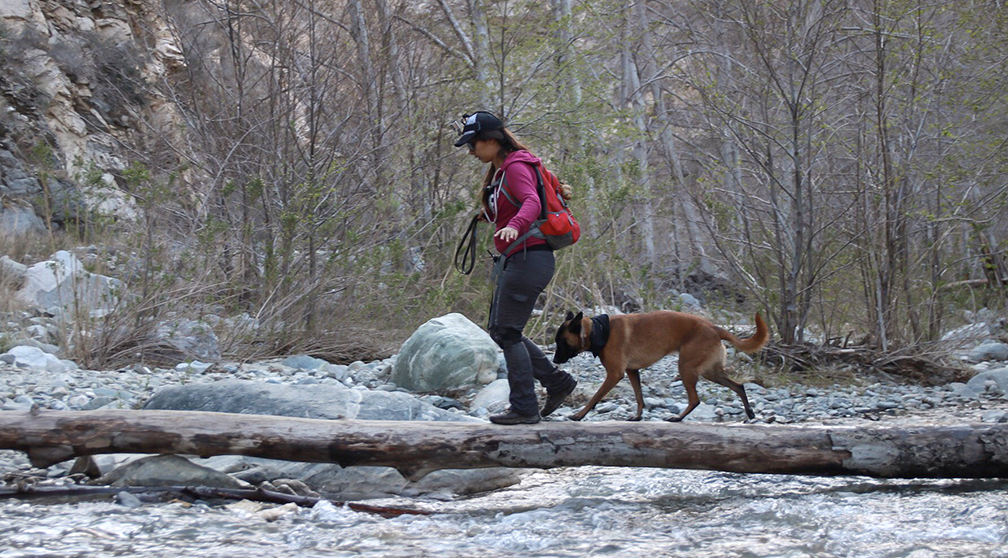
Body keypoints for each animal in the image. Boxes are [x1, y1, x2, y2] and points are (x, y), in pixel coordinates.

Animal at [556, 310, 766, 419]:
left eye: (562, 342)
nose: (555, 360)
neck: (597, 331)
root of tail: (715, 328)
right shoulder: (632, 372)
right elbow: (639, 397)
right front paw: (638, 417)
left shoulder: (615, 374)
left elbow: (595, 397)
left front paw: (579, 415)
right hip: (711, 372)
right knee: (739, 386)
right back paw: (749, 412)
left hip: (686, 368)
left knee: (695, 400)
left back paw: (678, 418)